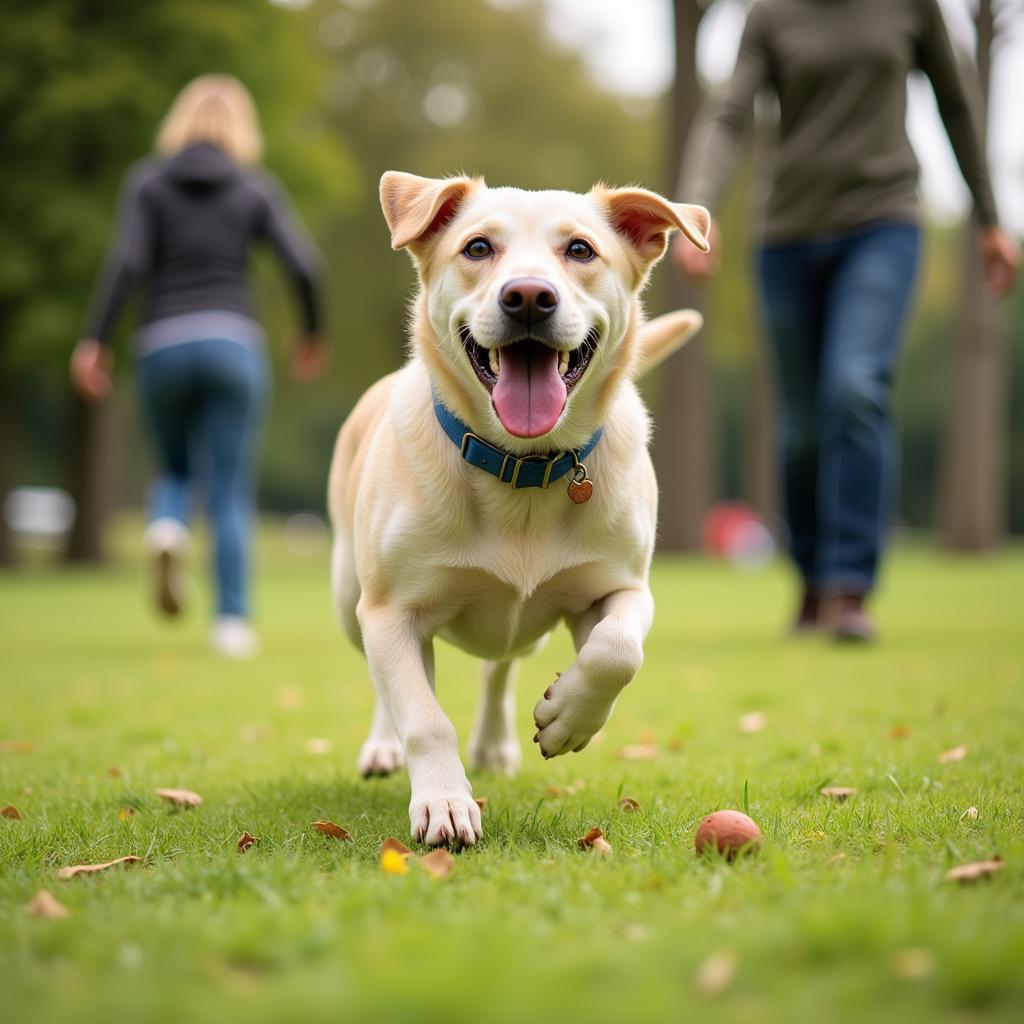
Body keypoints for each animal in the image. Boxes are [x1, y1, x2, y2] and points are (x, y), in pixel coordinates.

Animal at [331, 172, 708, 847]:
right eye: (477, 247)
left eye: (581, 250)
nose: (529, 296)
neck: (523, 470)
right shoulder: (391, 611)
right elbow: (422, 714)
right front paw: (445, 802)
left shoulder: (622, 587)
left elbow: (618, 651)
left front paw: (568, 718)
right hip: (351, 595)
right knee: (389, 680)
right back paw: (385, 747)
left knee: (500, 666)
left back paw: (495, 744)